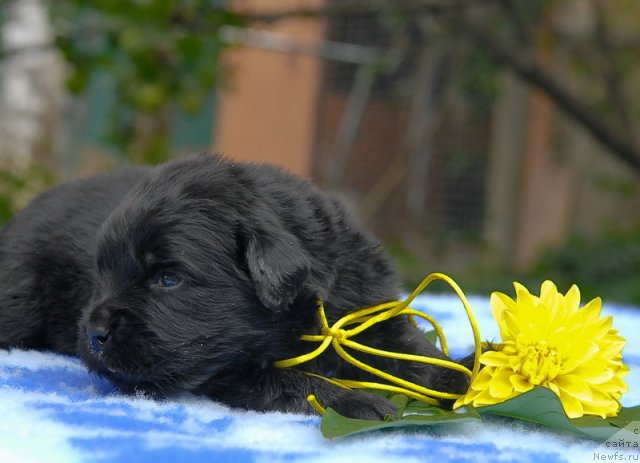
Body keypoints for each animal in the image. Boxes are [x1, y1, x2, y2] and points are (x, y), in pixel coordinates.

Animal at [0, 154, 464, 418]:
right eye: (101, 274)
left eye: (168, 279)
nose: (93, 334)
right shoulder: (228, 370)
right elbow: (288, 381)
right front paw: (352, 400)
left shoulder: (370, 308)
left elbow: (414, 351)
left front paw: (465, 374)